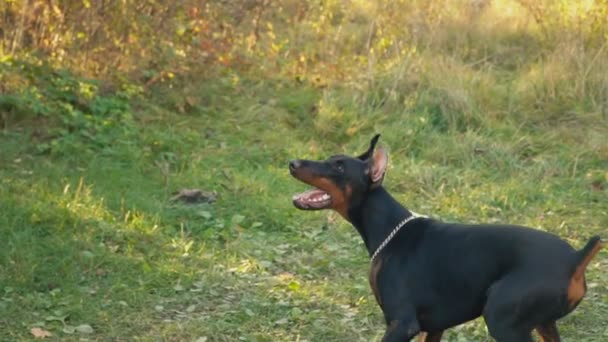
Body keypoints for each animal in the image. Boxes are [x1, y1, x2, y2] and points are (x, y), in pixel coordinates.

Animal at [290, 134, 604, 342]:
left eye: (339, 166)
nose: (292, 162)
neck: (389, 229)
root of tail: (575, 258)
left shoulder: (401, 323)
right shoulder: (433, 327)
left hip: (504, 321)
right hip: (545, 324)